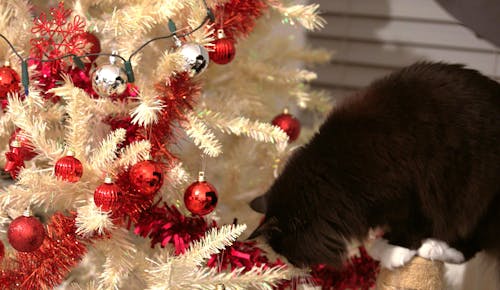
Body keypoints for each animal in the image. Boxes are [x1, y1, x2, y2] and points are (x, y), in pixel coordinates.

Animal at [250, 61, 500, 270]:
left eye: (285, 250)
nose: (290, 265)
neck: (334, 171)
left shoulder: (411, 190)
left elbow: (411, 224)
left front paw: (397, 248)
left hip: (477, 198)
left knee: (472, 242)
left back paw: (437, 248)